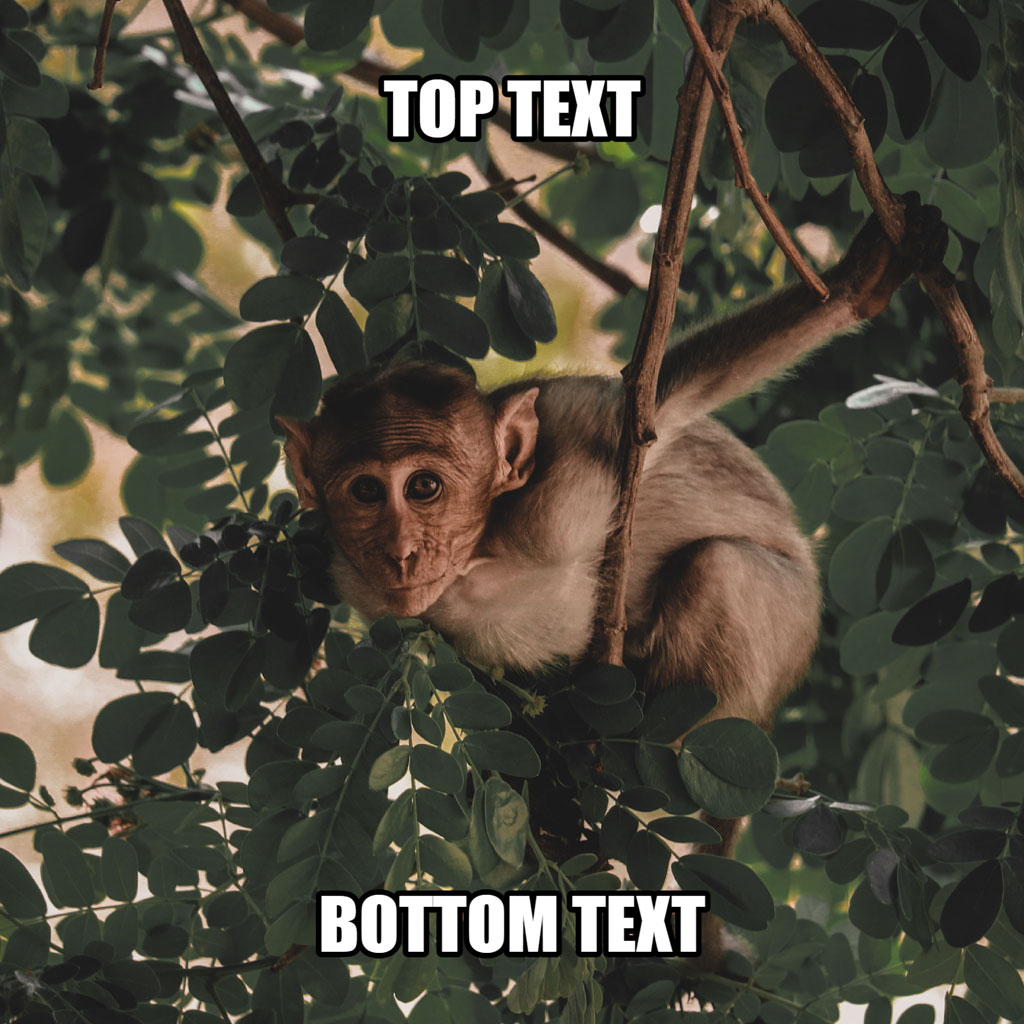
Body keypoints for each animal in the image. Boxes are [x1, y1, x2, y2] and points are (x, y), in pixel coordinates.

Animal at [279, 199, 944, 963]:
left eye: (423, 487)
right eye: (364, 492)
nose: (401, 553)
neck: (481, 557)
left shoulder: (572, 459)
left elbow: (669, 401)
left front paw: (857, 282)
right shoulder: (365, 583)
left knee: (720, 568)